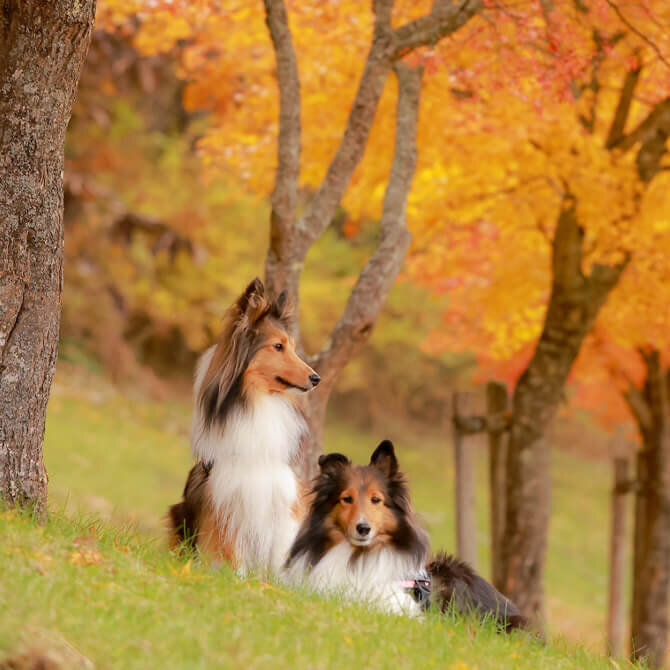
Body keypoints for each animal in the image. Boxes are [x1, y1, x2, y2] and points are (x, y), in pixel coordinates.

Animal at [171, 278, 322, 576]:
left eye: (292, 346)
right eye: (278, 346)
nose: (316, 378)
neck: (258, 401)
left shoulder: (282, 495)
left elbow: (281, 551)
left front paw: (276, 581)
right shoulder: (226, 496)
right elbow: (230, 548)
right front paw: (237, 579)